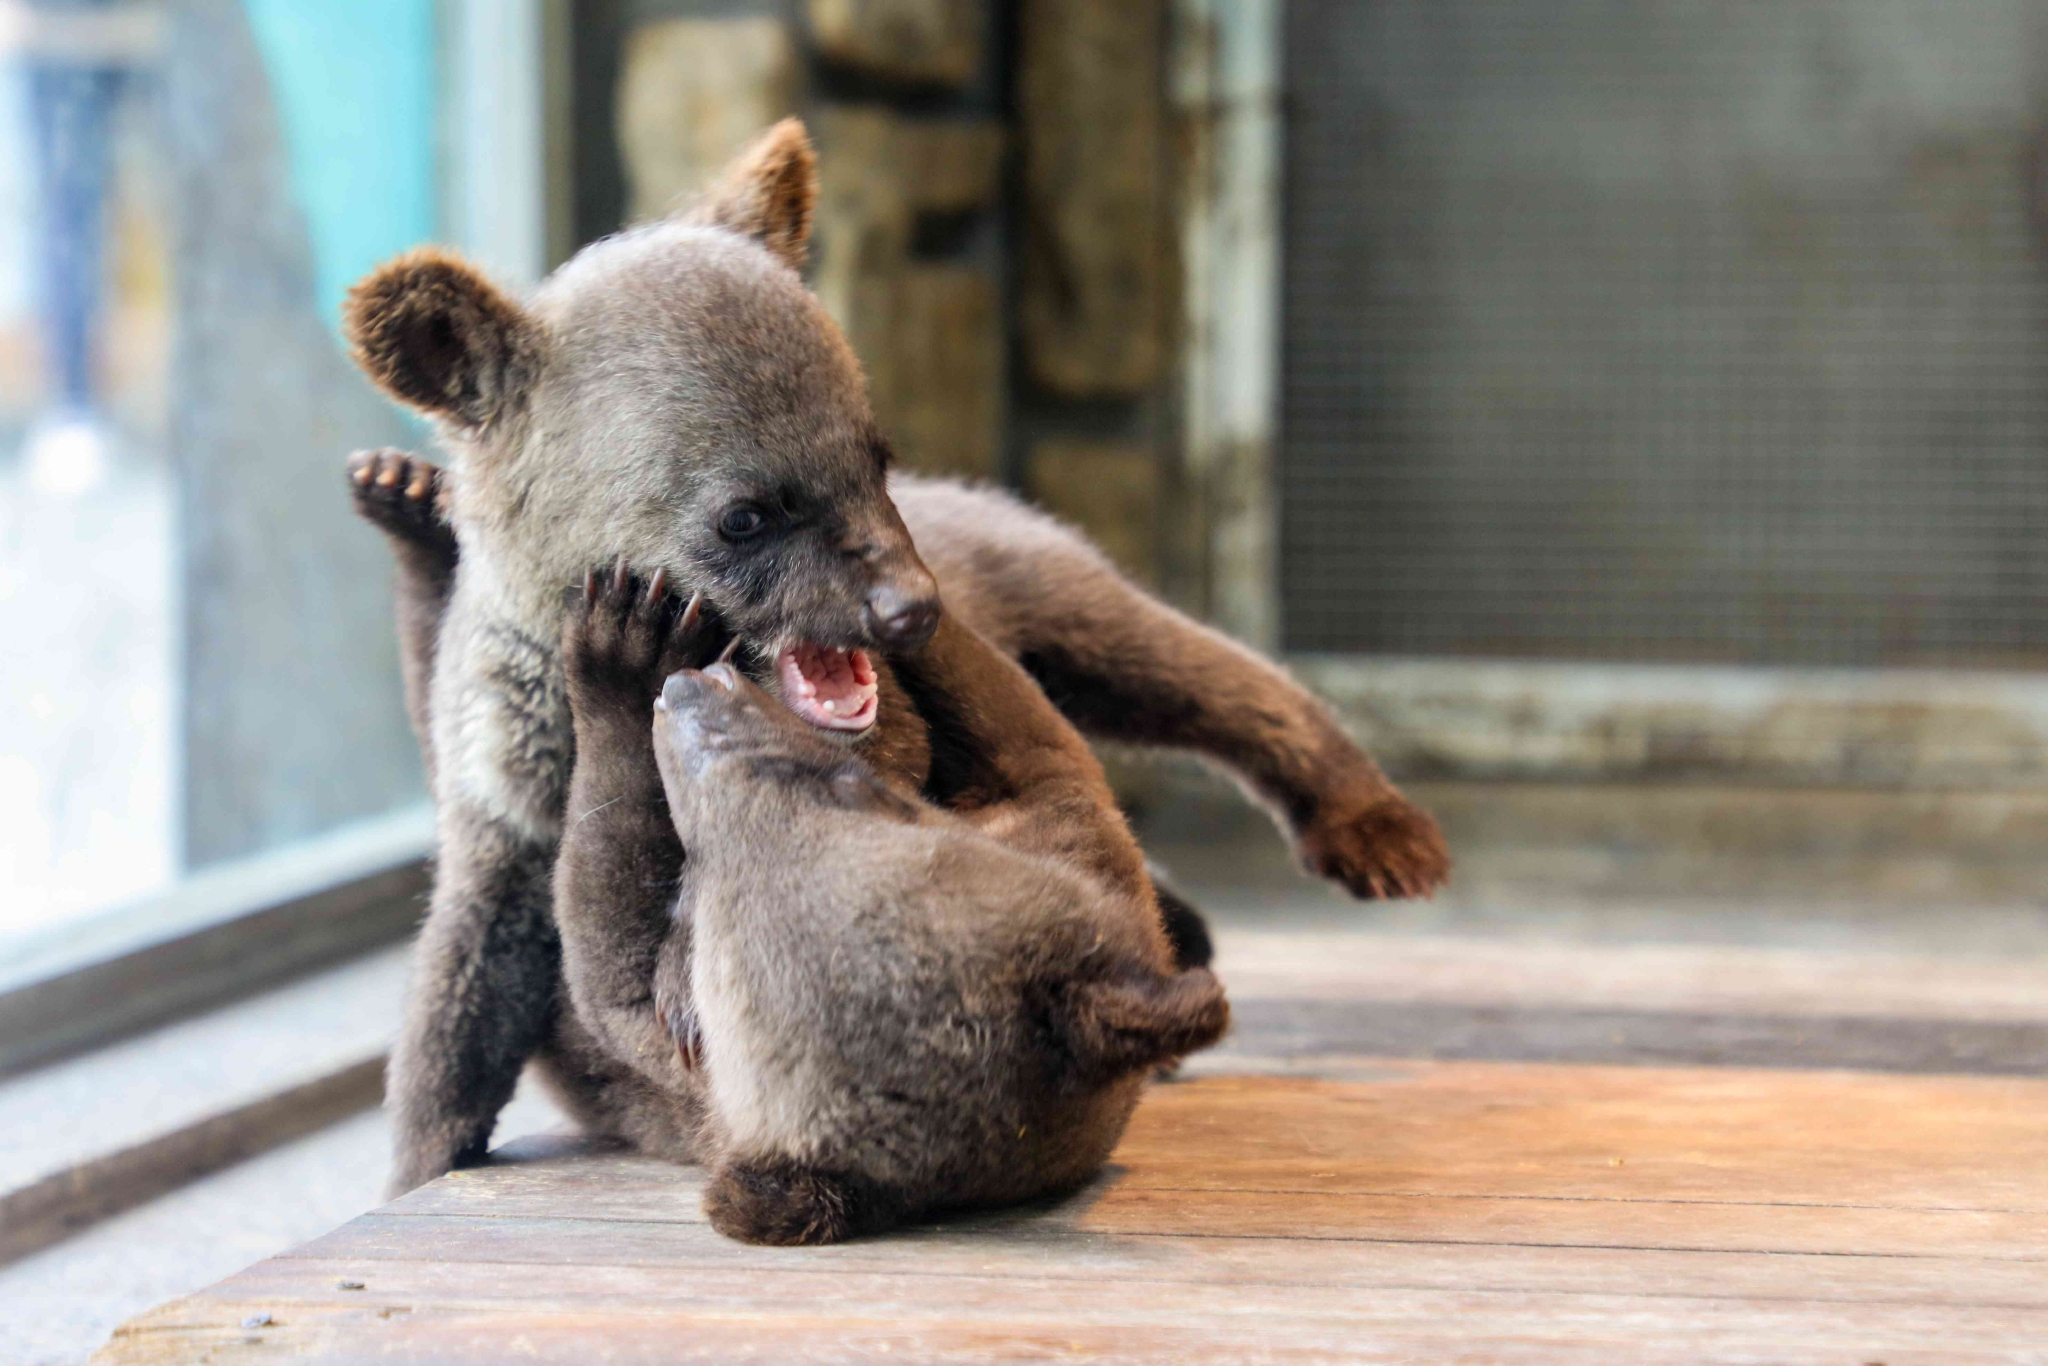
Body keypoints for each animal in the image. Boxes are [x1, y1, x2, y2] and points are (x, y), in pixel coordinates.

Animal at [536, 564, 1225, 1244]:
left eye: (845, 784)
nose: (693, 687)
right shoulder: (1090, 862)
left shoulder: (692, 1077)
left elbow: (602, 934)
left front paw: (623, 651)